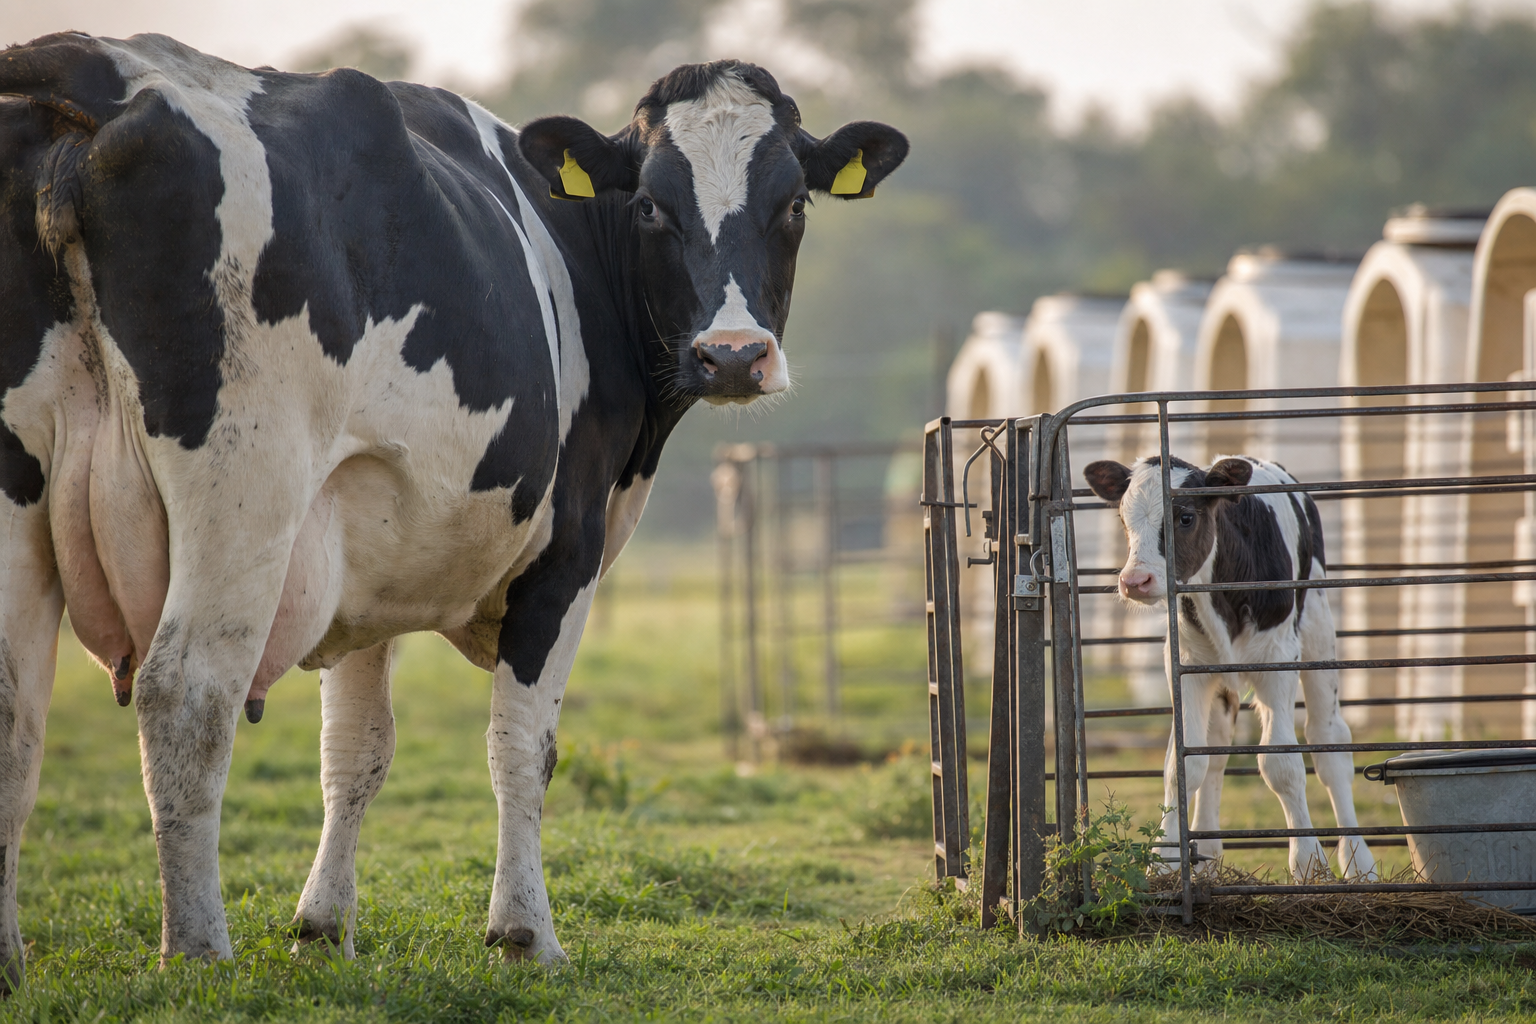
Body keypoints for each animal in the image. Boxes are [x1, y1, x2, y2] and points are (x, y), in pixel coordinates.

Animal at [0, 31, 907, 985]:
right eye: (652, 205)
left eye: (794, 203)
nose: (732, 355)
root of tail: (106, 69)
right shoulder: (565, 557)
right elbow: (524, 748)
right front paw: (525, 934)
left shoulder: (366, 553)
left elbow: (356, 750)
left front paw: (323, 928)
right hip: (245, 489)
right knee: (187, 693)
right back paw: (201, 952)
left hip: (25, 488)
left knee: (16, 714)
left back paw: (13, 959)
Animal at [1082, 454, 1377, 882]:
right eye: (1123, 518)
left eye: (1185, 517)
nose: (1135, 581)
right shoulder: (1185, 666)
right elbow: (1183, 763)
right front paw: (1166, 858)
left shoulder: (1277, 659)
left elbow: (1282, 763)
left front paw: (1308, 863)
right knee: (1215, 748)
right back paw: (1206, 856)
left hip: (1318, 627)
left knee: (1329, 743)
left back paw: (1359, 864)